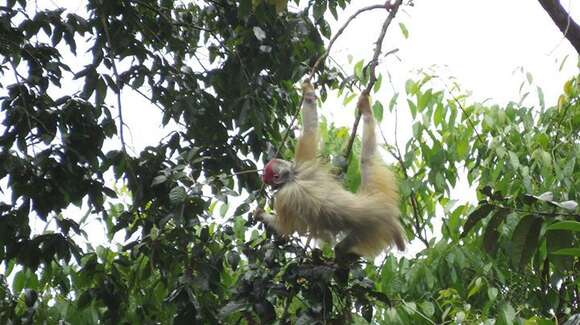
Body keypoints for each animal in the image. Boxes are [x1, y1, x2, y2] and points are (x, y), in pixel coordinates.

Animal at [256, 80, 406, 258]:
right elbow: (310, 128)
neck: (292, 176)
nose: (263, 178)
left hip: (373, 229)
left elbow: (286, 228)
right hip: (377, 189)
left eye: (267, 175)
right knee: (367, 160)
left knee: (341, 247)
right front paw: (308, 90)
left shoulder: (283, 197)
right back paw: (367, 111)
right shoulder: (302, 163)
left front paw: (259, 214)